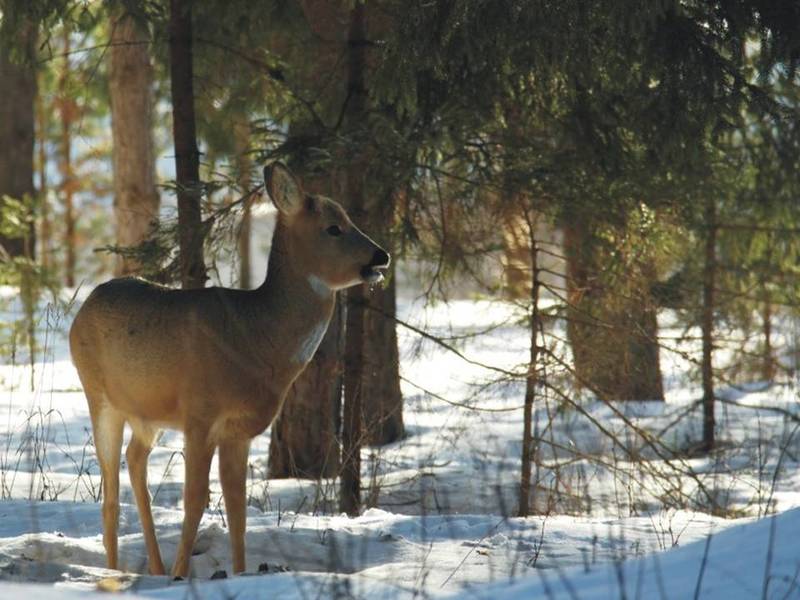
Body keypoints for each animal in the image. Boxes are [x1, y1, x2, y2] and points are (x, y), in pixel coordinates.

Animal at [70, 163, 390, 576]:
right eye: (333, 227)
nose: (381, 256)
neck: (255, 339)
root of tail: (83, 306)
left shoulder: (239, 431)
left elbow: (238, 509)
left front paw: (238, 573)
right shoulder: (200, 414)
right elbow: (195, 499)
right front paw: (181, 575)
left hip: (148, 414)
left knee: (135, 458)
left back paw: (154, 567)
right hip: (99, 397)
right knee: (110, 490)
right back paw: (117, 571)